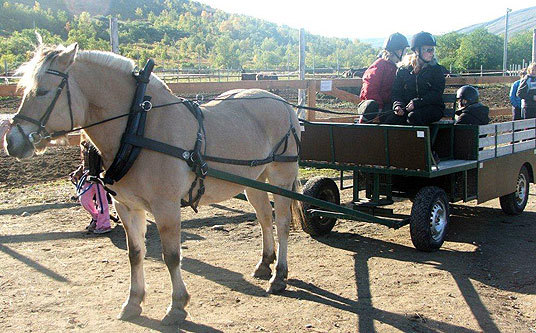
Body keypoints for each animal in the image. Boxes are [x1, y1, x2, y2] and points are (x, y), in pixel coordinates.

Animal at [4, 42, 304, 324]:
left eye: (43, 91)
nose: (11, 141)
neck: (138, 128)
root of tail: (283, 104)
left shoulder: (166, 207)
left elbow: (171, 256)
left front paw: (177, 305)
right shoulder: (126, 206)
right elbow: (135, 253)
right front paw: (133, 302)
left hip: (281, 177)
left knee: (282, 224)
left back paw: (279, 275)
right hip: (255, 182)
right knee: (264, 218)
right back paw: (264, 263)